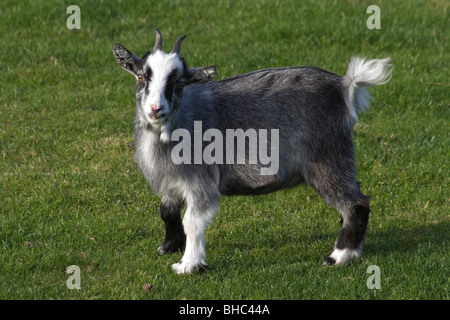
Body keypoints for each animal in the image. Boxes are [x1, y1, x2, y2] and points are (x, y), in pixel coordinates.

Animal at [113, 30, 394, 274]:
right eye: (141, 77)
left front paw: (188, 265)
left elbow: (192, 221)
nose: (155, 108)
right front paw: (169, 247)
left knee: (355, 204)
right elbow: (167, 212)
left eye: (179, 82)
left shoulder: (201, 181)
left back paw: (339, 256)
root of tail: (344, 87)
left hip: (327, 160)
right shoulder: (171, 182)